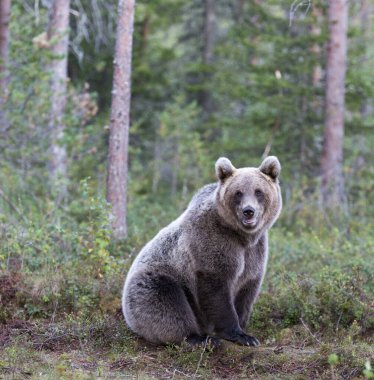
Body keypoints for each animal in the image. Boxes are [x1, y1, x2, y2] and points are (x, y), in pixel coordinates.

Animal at [121, 156, 282, 346]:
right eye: (238, 193)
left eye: (258, 191)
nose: (248, 211)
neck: (242, 236)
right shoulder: (212, 241)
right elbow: (216, 288)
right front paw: (239, 334)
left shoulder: (254, 251)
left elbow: (248, 286)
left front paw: (245, 330)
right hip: (156, 282)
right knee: (167, 303)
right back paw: (200, 338)